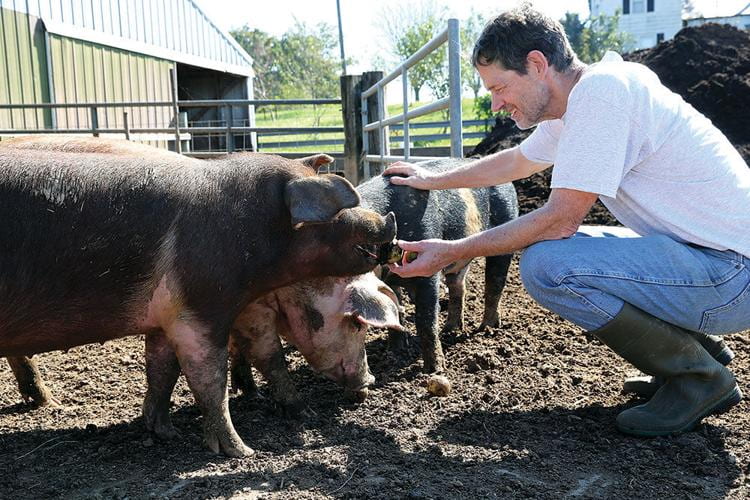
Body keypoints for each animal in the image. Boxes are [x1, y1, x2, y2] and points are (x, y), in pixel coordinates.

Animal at [0, 138, 400, 458]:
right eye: (357, 325)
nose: (370, 382)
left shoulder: (165, 317)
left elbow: (162, 370)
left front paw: (164, 432)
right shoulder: (203, 310)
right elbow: (216, 379)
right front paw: (243, 451)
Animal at [356, 158, 520, 374]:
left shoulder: (427, 271)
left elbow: (426, 318)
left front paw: (435, 370)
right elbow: (394, 309)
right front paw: (396, 352)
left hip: (506, 226)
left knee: (495, 284)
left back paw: (487, 329)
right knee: (458, 287)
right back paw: (451, 330)